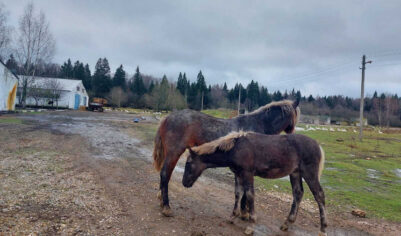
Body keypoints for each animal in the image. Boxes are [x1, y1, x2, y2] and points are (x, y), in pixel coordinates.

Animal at [152, 99, 298, 216]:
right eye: (294, 117)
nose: (292, 134)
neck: (258, 124)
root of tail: (168, 117)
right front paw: (244, 213)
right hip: (174, 153)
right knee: (165, 174)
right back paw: (166, 206)